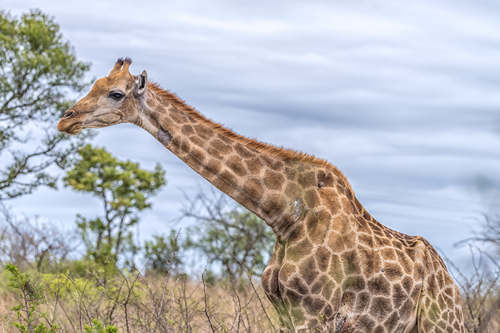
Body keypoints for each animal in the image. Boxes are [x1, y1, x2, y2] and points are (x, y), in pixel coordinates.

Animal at [57, 58, 464, 330]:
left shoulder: (315, 313)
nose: (66, 118)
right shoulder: (284, 312)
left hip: (441, 324)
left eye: (116, 93)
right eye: (94, 85)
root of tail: (455, 289)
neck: (284, 215)